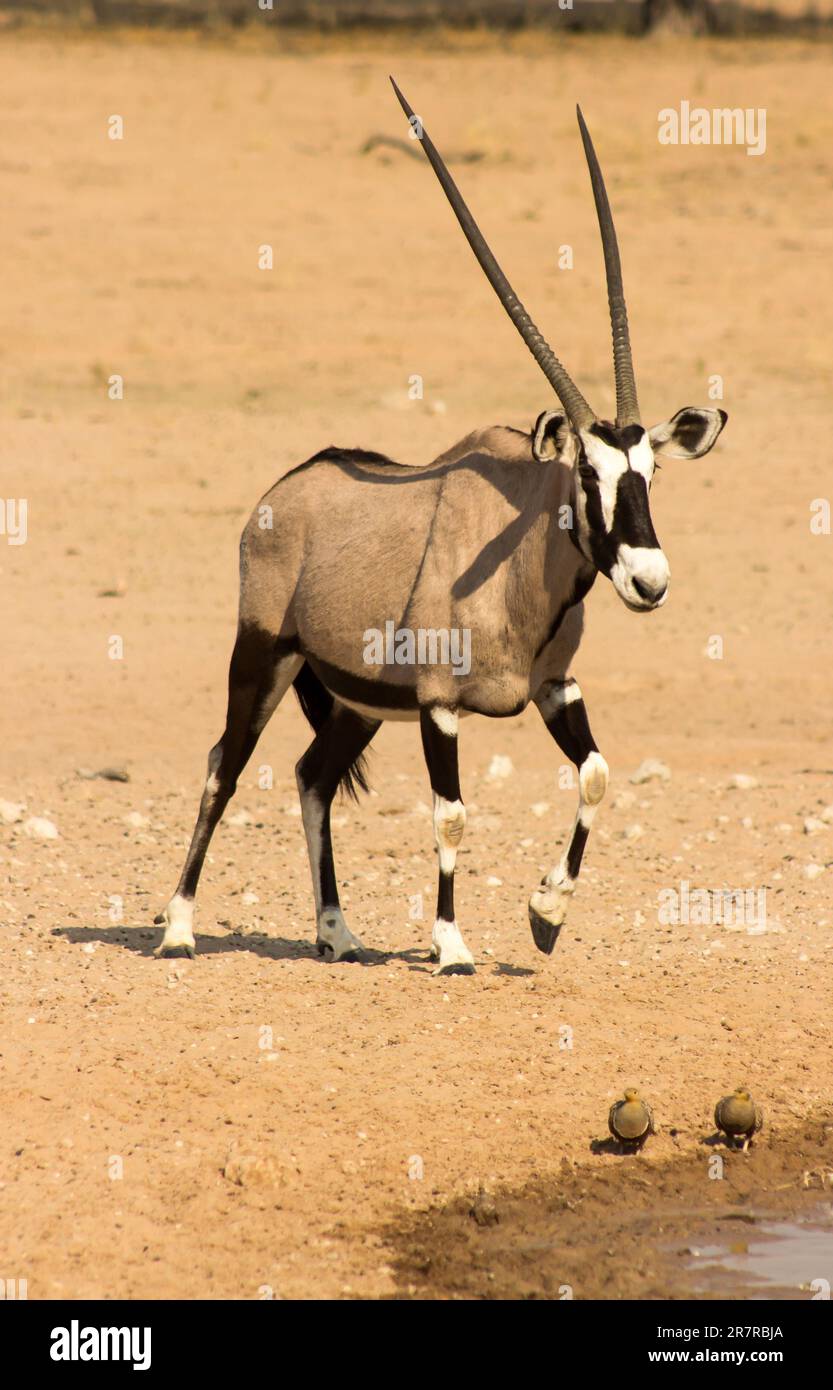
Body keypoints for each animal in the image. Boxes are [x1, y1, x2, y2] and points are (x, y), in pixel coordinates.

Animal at [152, 84, 728, 978]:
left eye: (648, 474)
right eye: (585, 478)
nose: (647, 579)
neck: (522, 564)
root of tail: (283, 490)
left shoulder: (554, 689)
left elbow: (597, 776)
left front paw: (545, 915)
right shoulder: (438, 705)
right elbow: (452, 814)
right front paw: (451, 943)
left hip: (353, 701)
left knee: (312, 775)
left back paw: (336, 932)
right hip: (263, 656)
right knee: (224, 767)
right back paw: (178, 928)